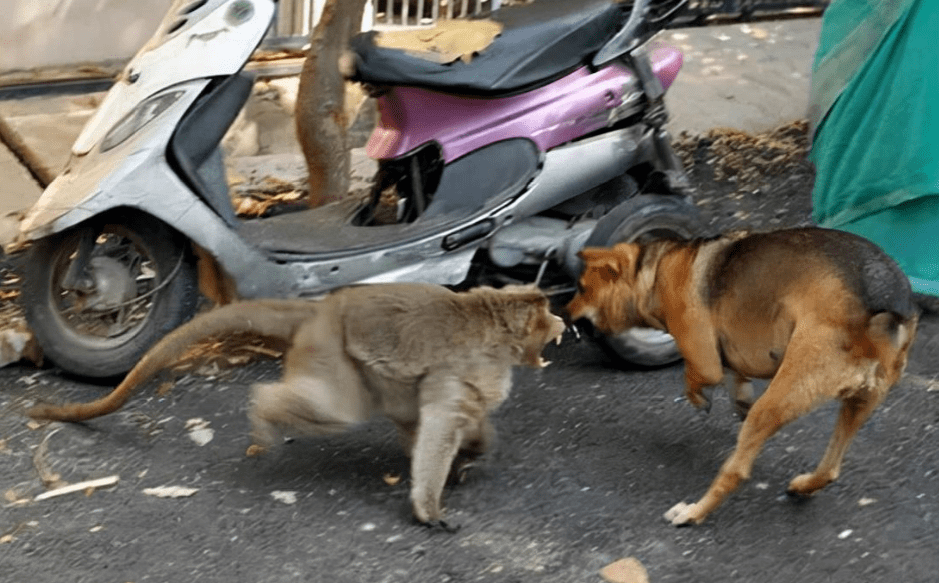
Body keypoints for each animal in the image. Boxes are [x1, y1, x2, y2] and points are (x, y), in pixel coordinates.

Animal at [31, 282, 564, 528]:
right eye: (549, 315)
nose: (561, 322)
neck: (493, 323)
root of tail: (321, 308)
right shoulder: (466, 367)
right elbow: (439, 422)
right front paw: (428, 507)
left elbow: (453, 419)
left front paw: (475, 452)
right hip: (330, 349)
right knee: (339, 411)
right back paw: (263, 410)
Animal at [564, 227, 916, 524]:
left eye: (581, 288)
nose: (564, 314)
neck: (653, 271)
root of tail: (881, 312)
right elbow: (737, 377)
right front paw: (737, 398)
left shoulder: (704, 359)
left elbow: (695, 377)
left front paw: (699, 398)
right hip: (859, 404)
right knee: (830, 469)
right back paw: (803, 485)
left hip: (776, 403)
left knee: (736, 471)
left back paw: (694, 512)